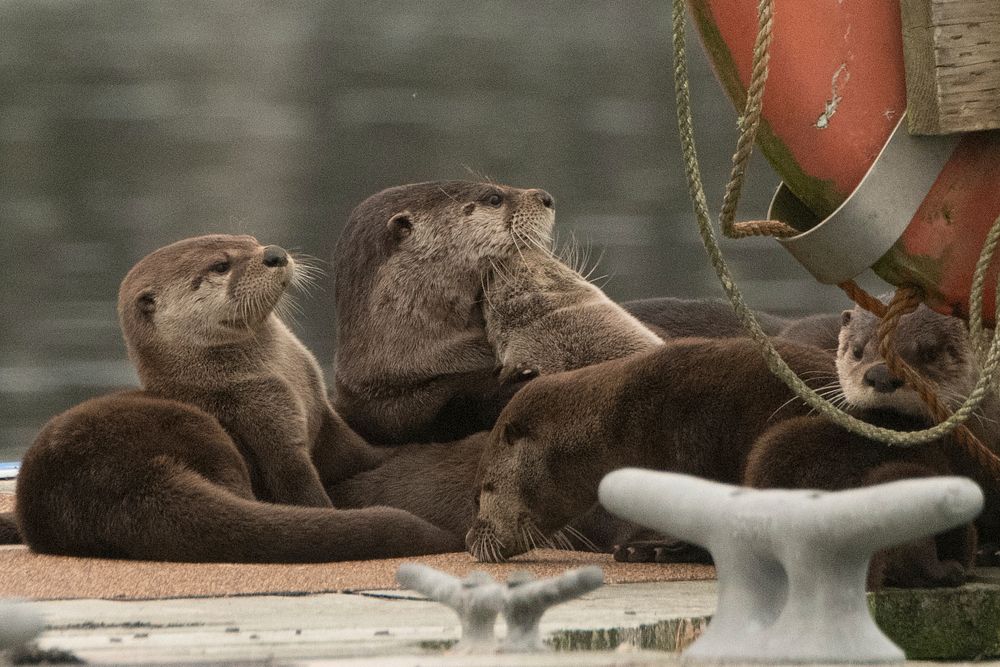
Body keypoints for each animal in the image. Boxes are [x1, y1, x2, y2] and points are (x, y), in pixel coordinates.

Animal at [15, 237, 460, 560]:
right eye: (220, 265)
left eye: (251, 240)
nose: (275, 254)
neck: (278, 373)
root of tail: (114, 488)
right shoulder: (267, 419)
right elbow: (298, 479)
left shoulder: (319, 409)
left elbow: (356, 449)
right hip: (200, 432)